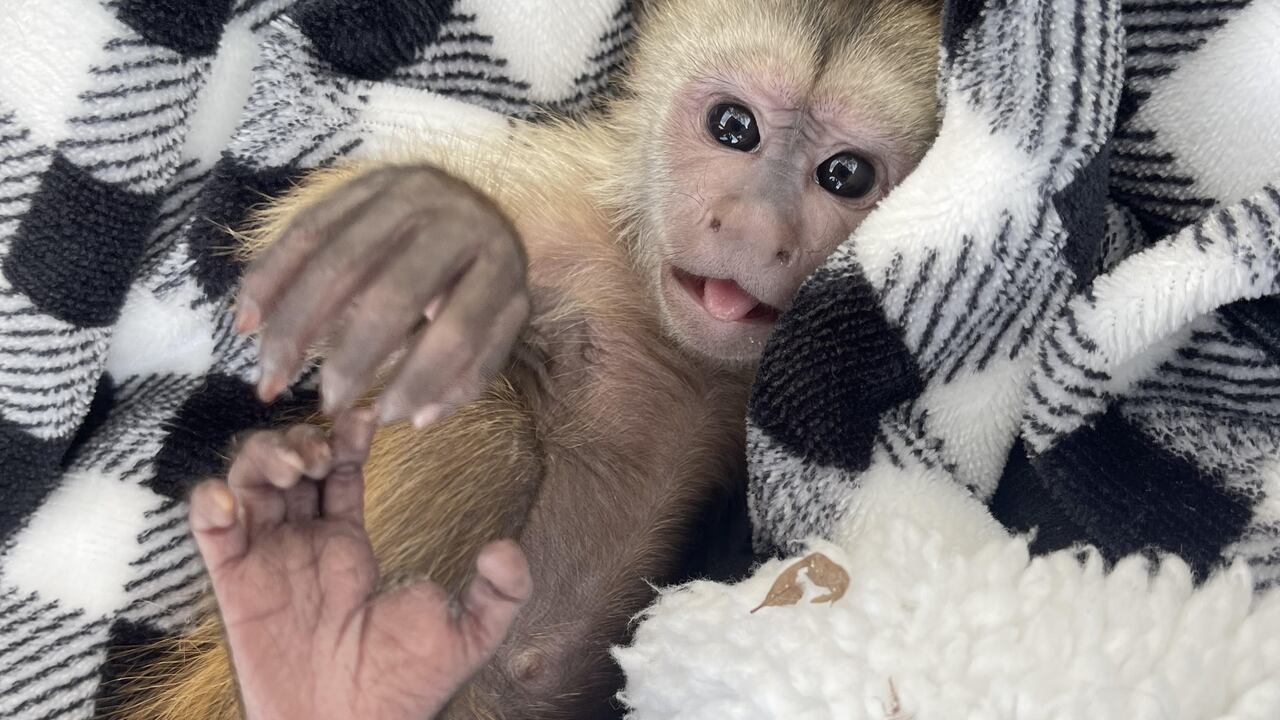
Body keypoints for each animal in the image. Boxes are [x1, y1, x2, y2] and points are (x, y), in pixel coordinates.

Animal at [119, 0, 941, 718]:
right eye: (733, 127)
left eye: (845, 175)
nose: (752, 225)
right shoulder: (566, 212)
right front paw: (454, 231)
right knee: (490, 433)